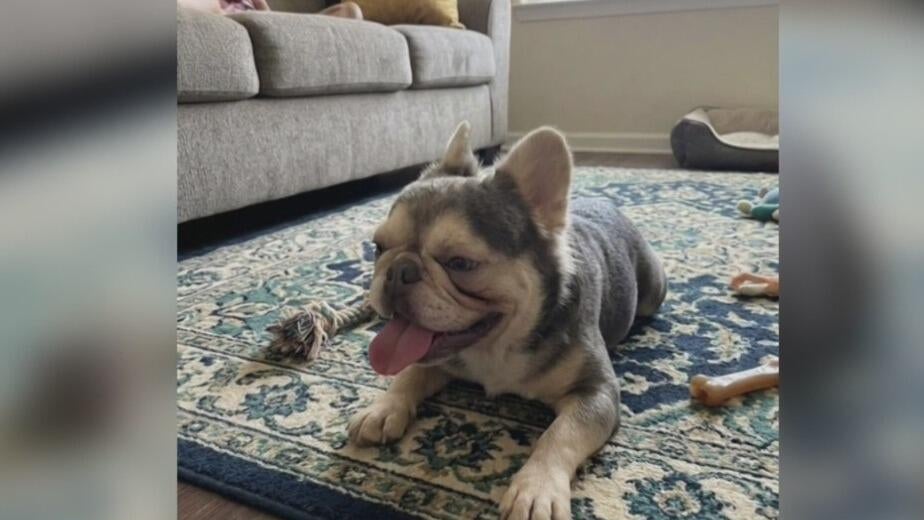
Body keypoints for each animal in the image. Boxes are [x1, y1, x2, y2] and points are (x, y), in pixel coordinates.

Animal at [348, 122, 667, 520]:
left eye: (460, 263)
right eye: (378, 248)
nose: (398, 271)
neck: (498, 346)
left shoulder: (596, 392)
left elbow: (561, 433)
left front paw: (536, 489)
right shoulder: (437, 359)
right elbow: (409, 373)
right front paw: (381, 409)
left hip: (653, 291)